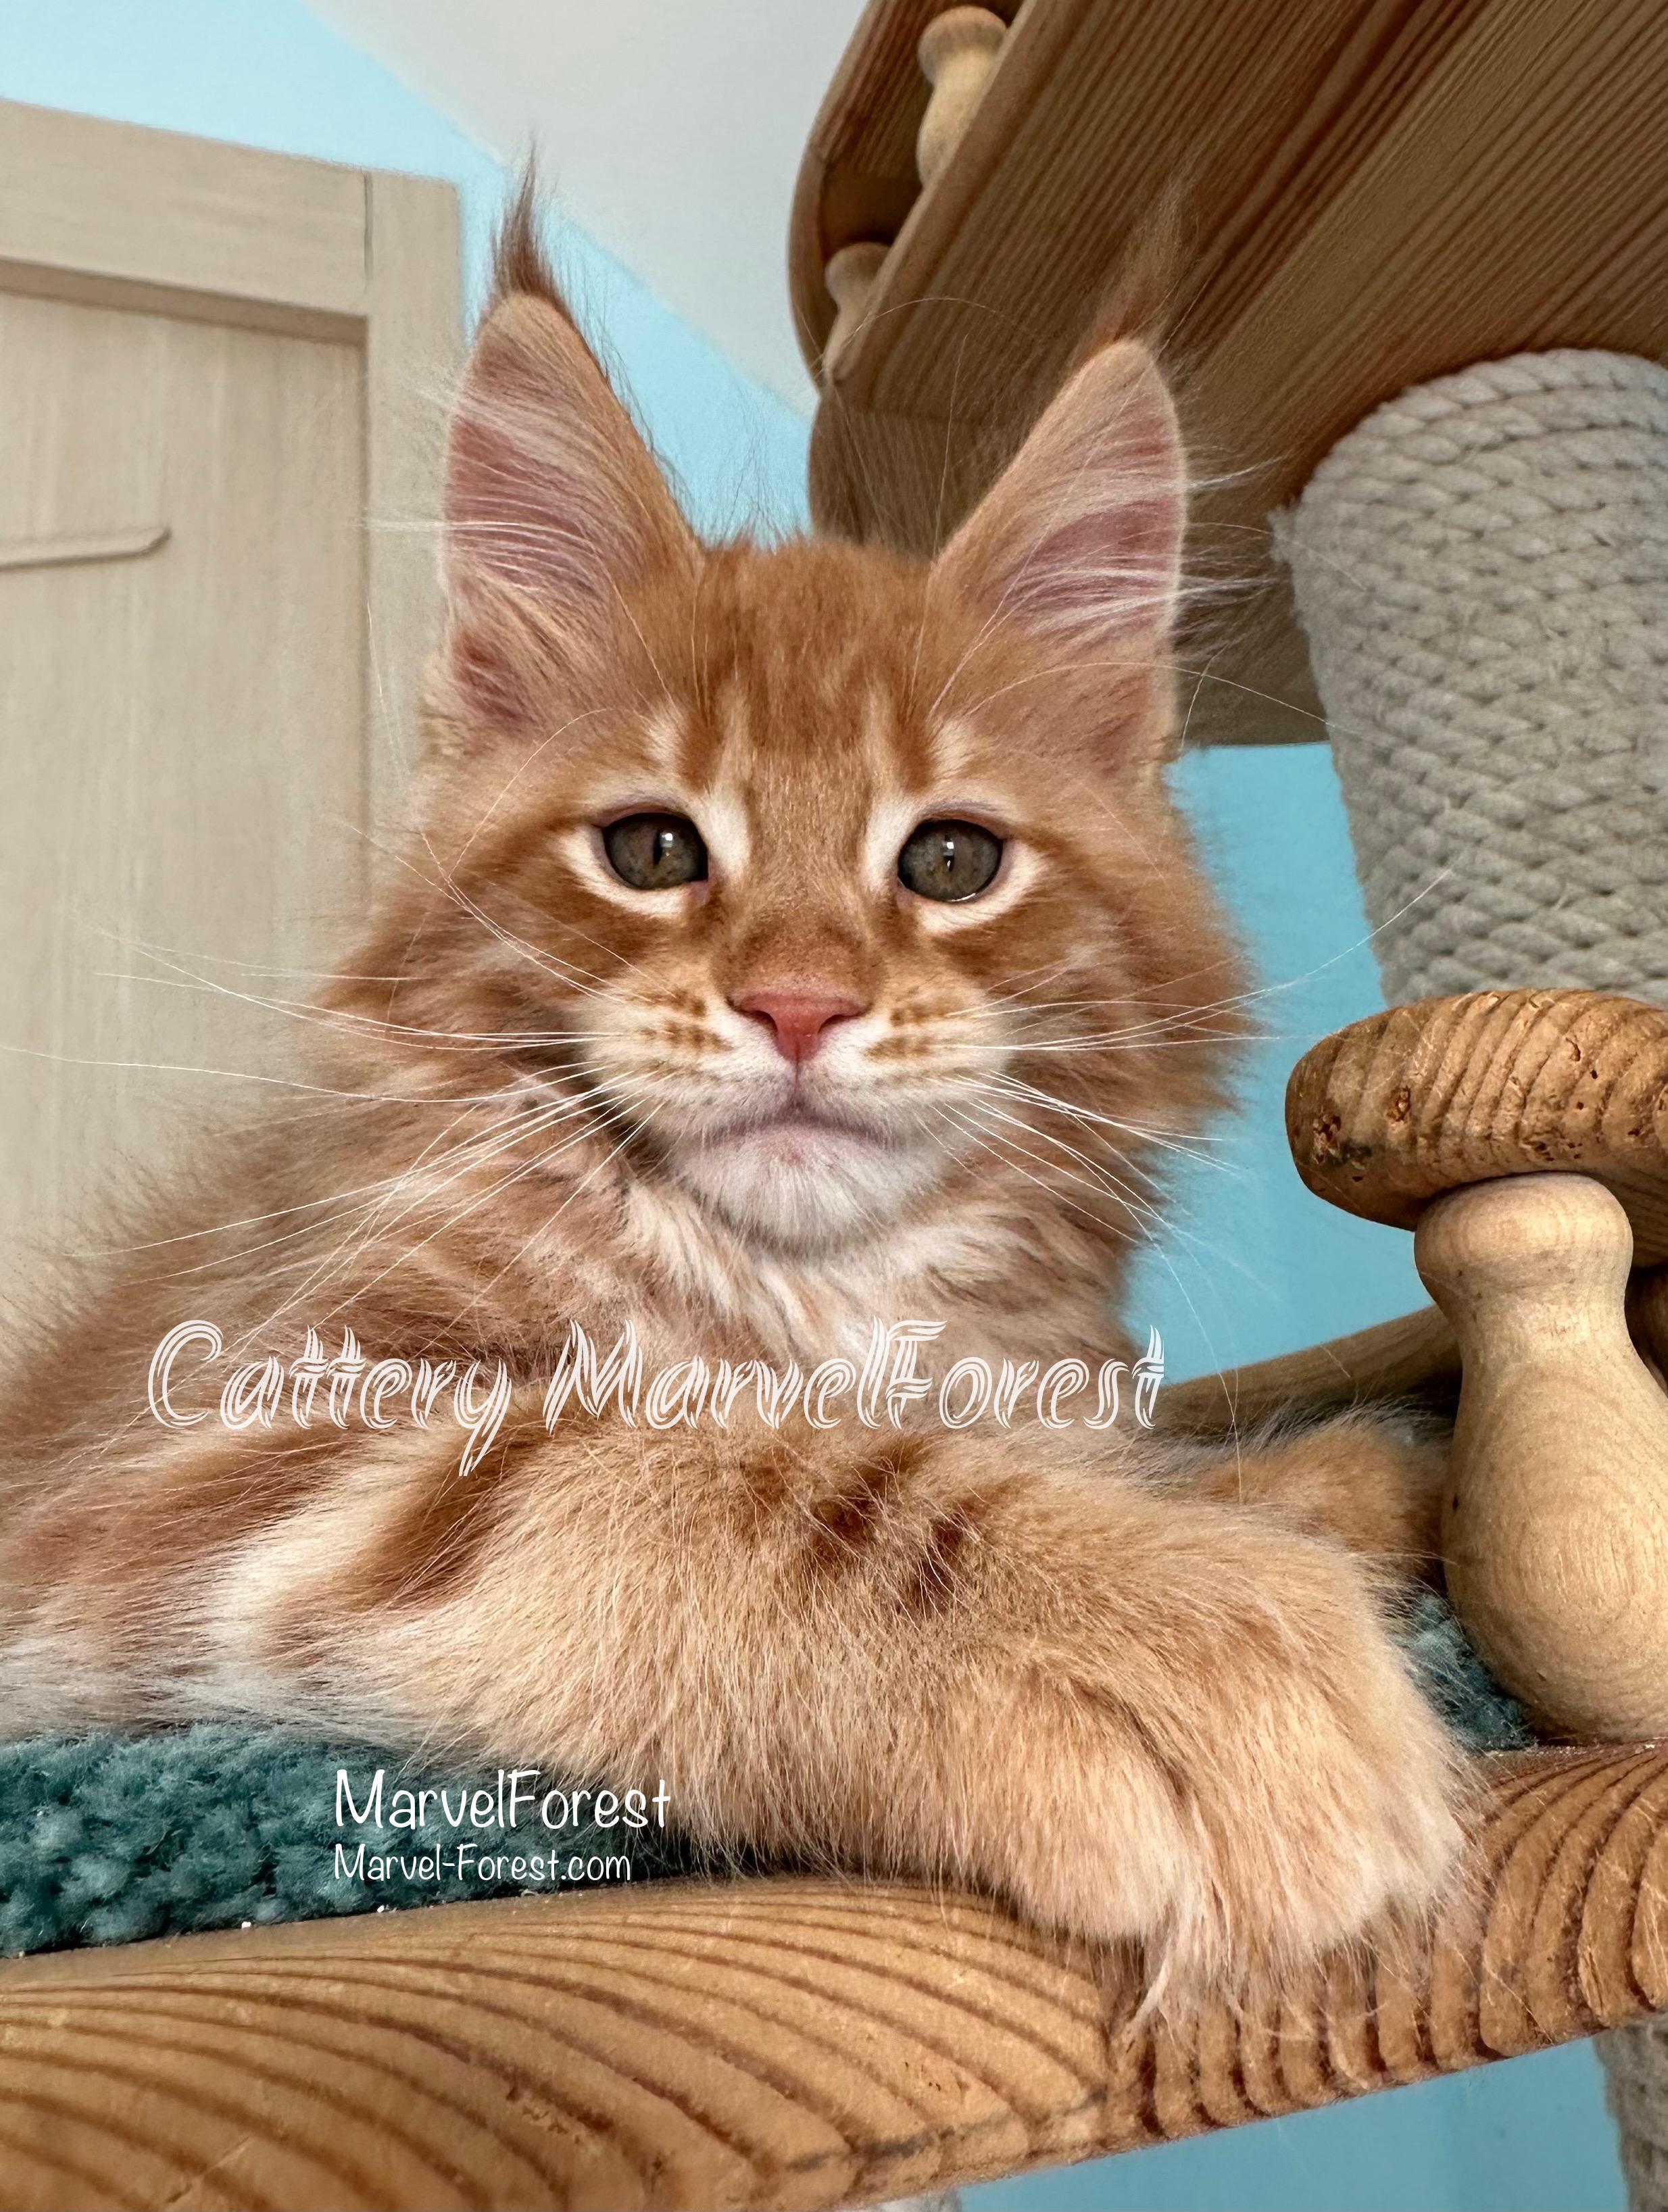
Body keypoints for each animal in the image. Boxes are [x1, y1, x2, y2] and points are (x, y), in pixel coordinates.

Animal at [0, 195, 1461, 1999]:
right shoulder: (194, 1462)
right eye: (650, 850)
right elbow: (708, 1470)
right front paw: (1156, 1625)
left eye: (952, 861)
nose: (799, 1003)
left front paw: (1303, 1491)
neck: (818, 1300)